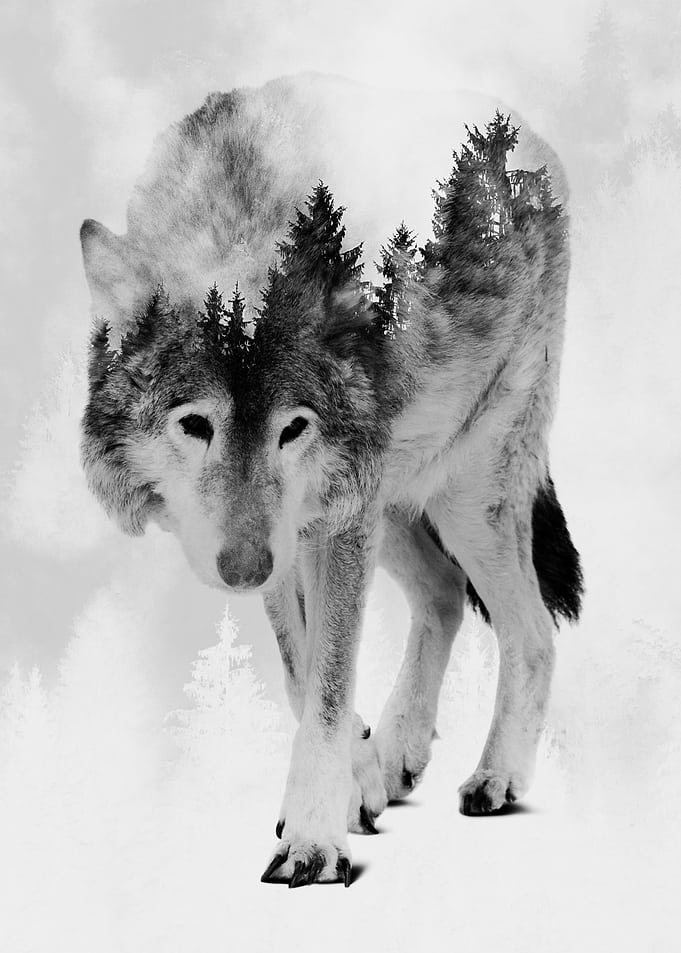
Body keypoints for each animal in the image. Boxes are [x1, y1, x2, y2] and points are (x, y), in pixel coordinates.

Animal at [79, 75, 582, 887]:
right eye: (195, 424)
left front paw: (314, 840)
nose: (241, 567)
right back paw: (398, 756)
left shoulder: (328, 524)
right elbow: (302, 675)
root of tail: (526, 133)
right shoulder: (295, 540)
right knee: (444, 595)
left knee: (531, 630)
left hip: (459, 495)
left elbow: (327, 683)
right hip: (393, 500)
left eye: (293, 428)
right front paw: (357, 784)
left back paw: (496, 778)